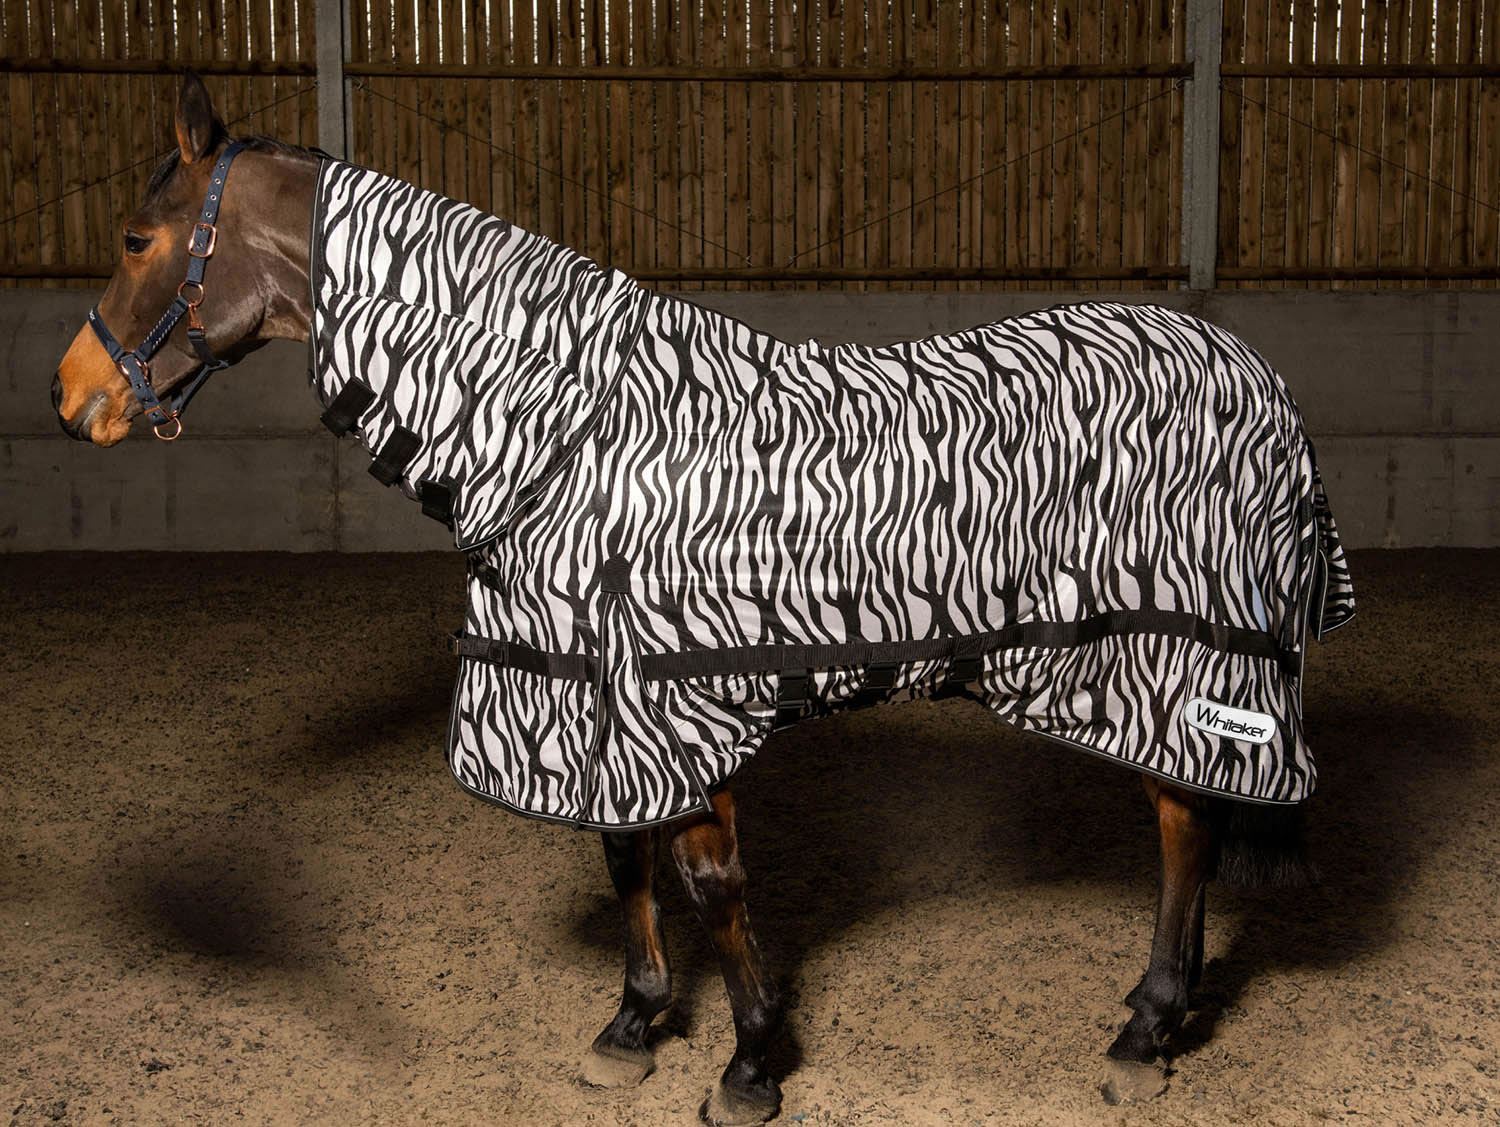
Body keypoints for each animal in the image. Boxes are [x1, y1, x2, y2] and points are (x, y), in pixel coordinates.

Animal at [53, 74, 1352, 1123]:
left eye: (135, 236)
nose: (72, 400)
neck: (566, 427)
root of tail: (1257, 374)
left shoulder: (683, 693)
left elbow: (709, 880)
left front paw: (751, 1061)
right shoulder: (594, 691)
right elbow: (625, 857)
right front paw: (634, 1026)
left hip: (1179, 658)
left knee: (1187, 822)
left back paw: (1145, 1031)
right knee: (1199, 813)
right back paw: (1160, 1011)